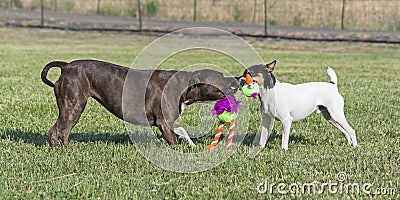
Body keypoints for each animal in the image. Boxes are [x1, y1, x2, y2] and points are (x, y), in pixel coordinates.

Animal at [41, 59, 239, 148]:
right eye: (220, 77)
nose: (237, 79)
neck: (184, 85)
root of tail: (66, 66)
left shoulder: (169, 122)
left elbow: (182, 130)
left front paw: (191, 144)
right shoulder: (164, 123)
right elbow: (173, 140)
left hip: (73, 109)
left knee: (64, 131)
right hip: (72, 106)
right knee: (55, 131)